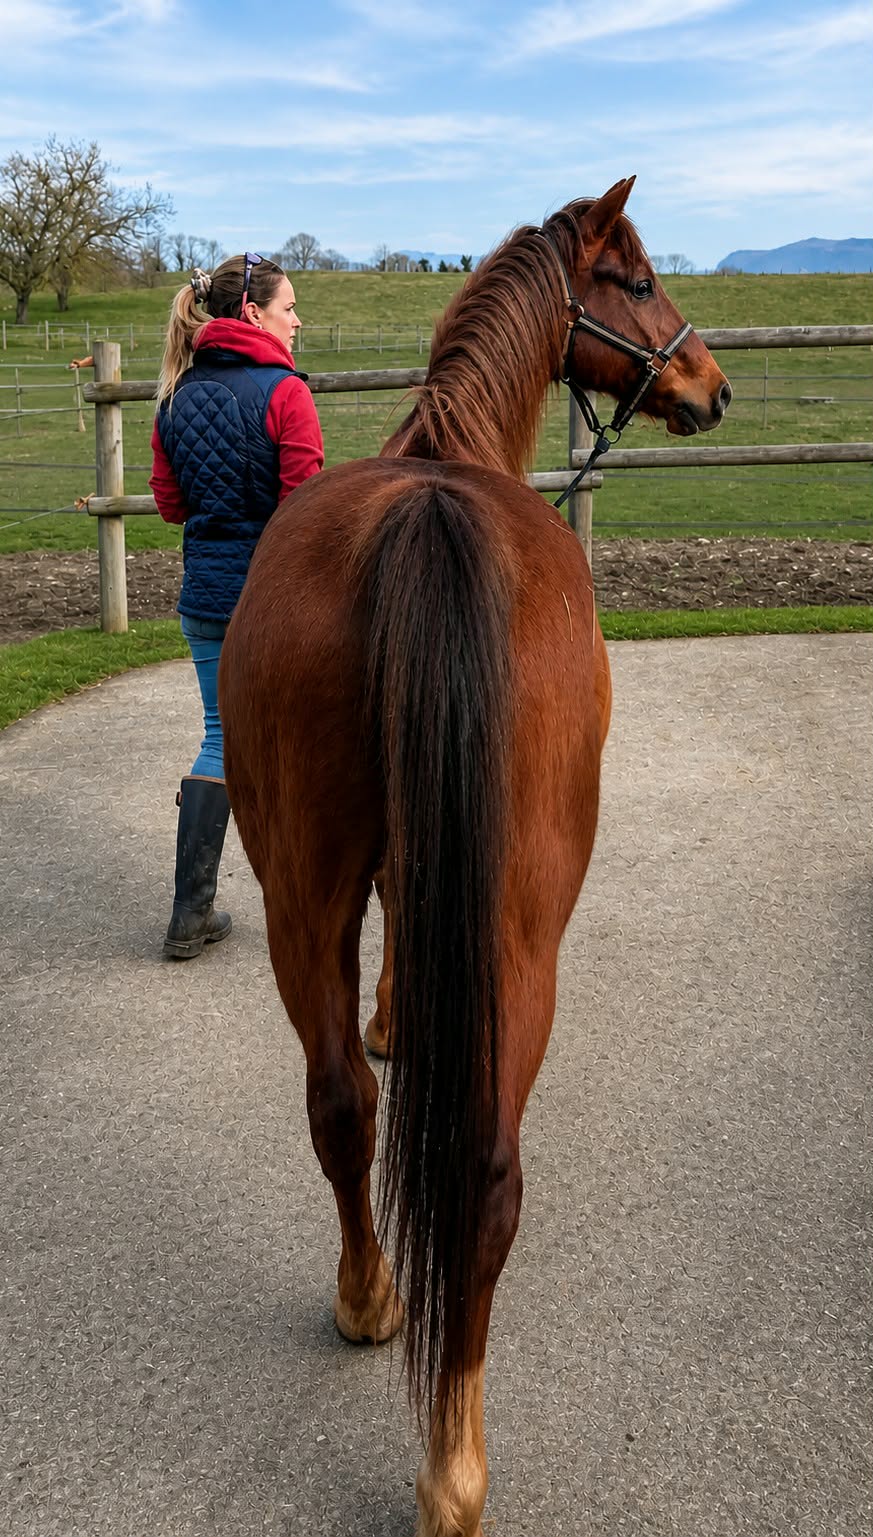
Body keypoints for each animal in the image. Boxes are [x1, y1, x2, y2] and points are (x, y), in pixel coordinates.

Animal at [219, 177, 731, 1536]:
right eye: (637, 279)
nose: (711, 385)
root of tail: (430, 517)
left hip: (299, 895)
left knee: (342, 1102)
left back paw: (368, 1296)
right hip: (527, 931)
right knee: (487, 1174)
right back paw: (455, 1463)